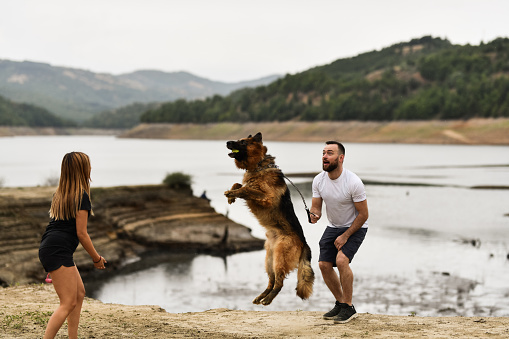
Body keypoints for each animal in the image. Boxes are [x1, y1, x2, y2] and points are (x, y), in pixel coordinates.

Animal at [223, 133, 312, 306]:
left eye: (243, 142)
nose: (227, 142)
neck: (258, 166)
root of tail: (304, 242)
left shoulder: (267, 198)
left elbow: (247, 188)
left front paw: (234, 192)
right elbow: (238, 183)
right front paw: (231, 194)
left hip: (279, 258)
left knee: (279, 282)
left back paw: (268, 300)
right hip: (269, 260)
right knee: (271, 281)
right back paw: (261, 297)